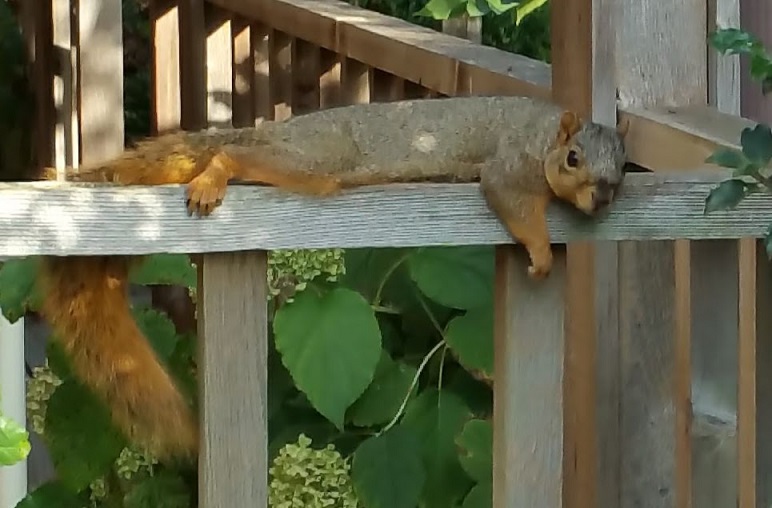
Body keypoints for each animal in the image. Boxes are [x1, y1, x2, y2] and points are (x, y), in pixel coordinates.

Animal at [37, 95, 628, 461]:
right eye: (573, 158)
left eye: (620, 172)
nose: (600, 200)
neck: (543, 135)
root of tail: (284, 127)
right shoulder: (510, 166)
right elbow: (513, 203)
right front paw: (542, 253)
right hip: (318, 157)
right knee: (236, 152)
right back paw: (214, 174)